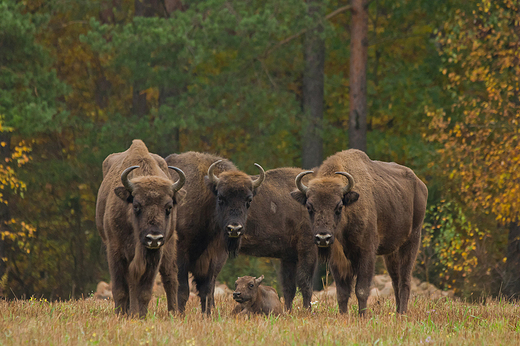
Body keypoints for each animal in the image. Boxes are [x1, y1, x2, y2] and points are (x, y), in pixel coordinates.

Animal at [94, 139, 186, 318]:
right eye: (136, 205)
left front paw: (141, 316)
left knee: (170, 276)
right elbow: (120, 289)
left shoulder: (155, 254)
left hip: (169, 244)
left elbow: (144, 291)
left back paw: (173, 312)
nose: (153, 238)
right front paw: (121, 314)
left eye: (169, 207)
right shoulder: (115, 252)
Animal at [165, 151, 264, 314]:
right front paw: (179, 313)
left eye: (248, 200)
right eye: (221, 198)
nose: (234, 229)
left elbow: (207, 291)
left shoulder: (215, 258)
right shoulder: (180, 255)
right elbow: (183, 289)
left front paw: (208, 314)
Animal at [239, 168, 316, 310]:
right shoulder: (307, 248)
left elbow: (289, 287)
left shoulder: (289, 256)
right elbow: (305, 283)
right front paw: (307, 310)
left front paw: (287, 310)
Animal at [290, 149, 428, 316]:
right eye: (309, 206)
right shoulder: (337, 259)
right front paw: (343, 315)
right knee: (396, 280)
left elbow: (361, 289)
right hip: (392, 252)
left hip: (412, 241)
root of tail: (420, 185)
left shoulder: (366, 253)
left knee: (405, 280)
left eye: (339, 206)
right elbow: (342, 293)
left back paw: (402, 313)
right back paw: (396, 313)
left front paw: (362, 316)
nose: (323, 238)